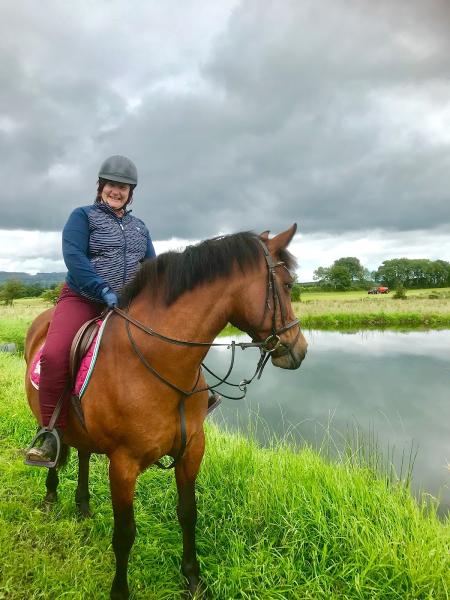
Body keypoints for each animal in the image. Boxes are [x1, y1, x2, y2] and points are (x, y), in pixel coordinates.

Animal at [23, 225, 306, 600]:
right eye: (287, 285)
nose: (300, 349)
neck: (158, 360)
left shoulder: (191, 450)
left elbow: (188, 513)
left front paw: (192, 579)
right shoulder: (123, 464)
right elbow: (125, 533)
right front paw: (120, 591)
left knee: (82, 454)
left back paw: (83, 506)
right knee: (55, 446)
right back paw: (51, 495)